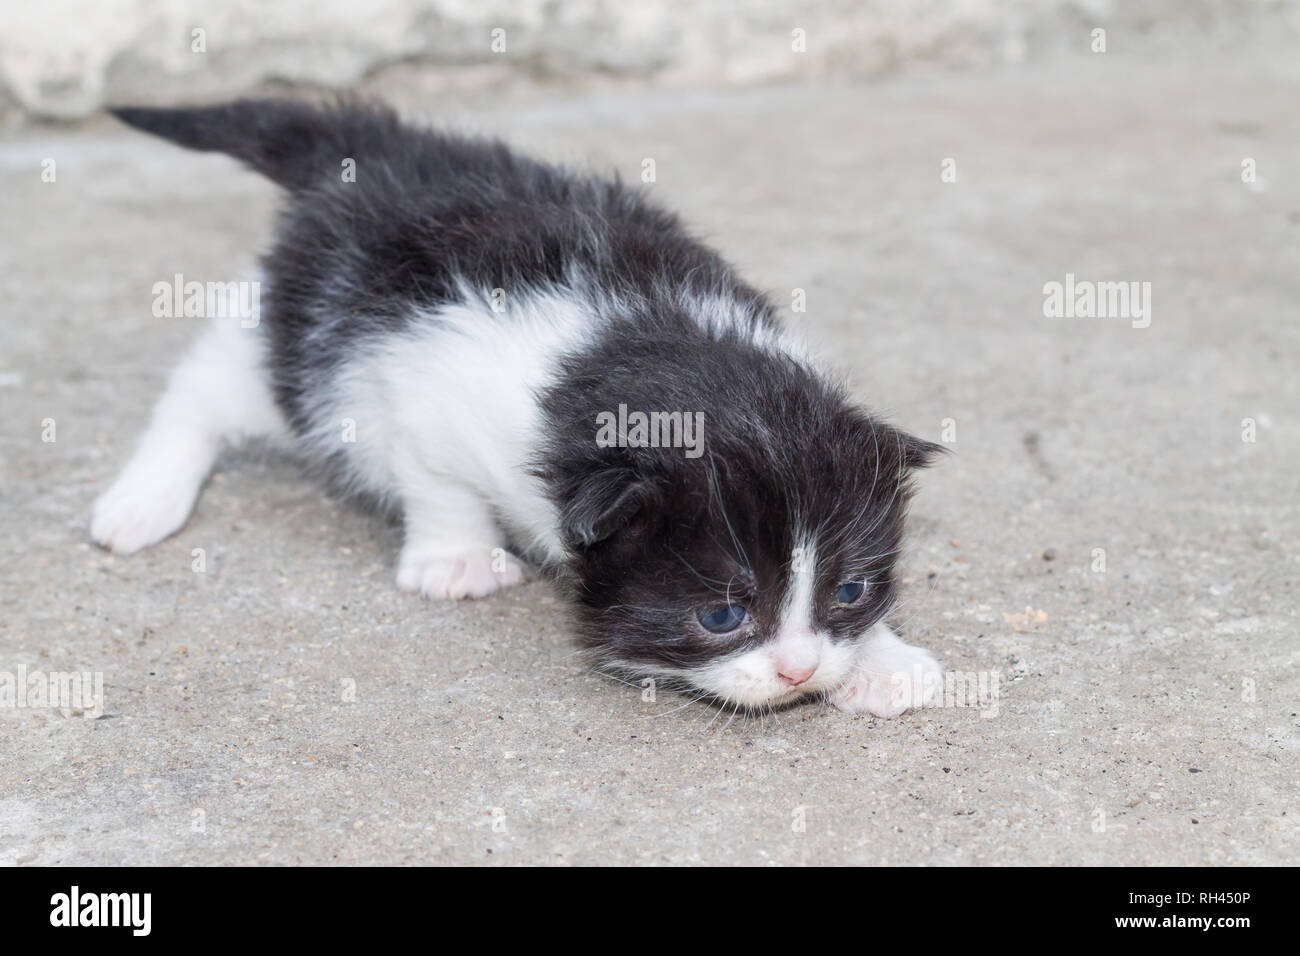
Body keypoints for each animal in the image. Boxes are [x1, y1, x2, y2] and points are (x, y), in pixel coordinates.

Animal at [94, 100, 946, 717]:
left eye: (848, 591)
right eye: (721, 616)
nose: (800, 670)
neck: (638, 341)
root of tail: (381, 150)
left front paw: (881, 659)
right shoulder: (421, 384)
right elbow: (435, 475)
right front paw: (456, 560)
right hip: (296, 335)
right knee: (211, 382)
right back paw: (143, 499)